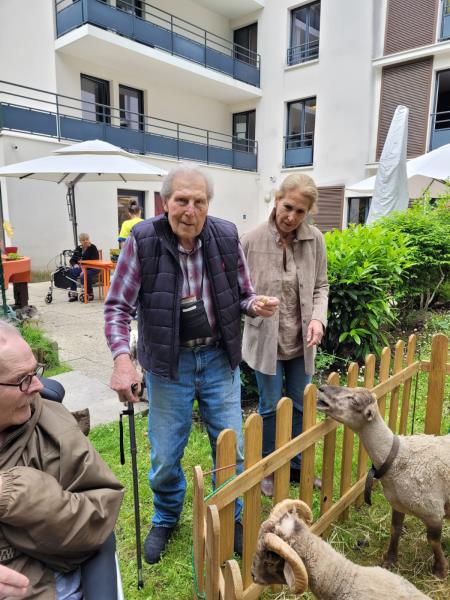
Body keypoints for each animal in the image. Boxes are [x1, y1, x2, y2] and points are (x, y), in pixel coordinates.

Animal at [317, 385, 450, 579]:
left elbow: (433, 540)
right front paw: (390, 561)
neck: (396, 458)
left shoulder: (433, 511)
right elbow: (395, 530)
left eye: (354, 400)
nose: (321, 388)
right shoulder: (397, 503)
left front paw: (440, 569)